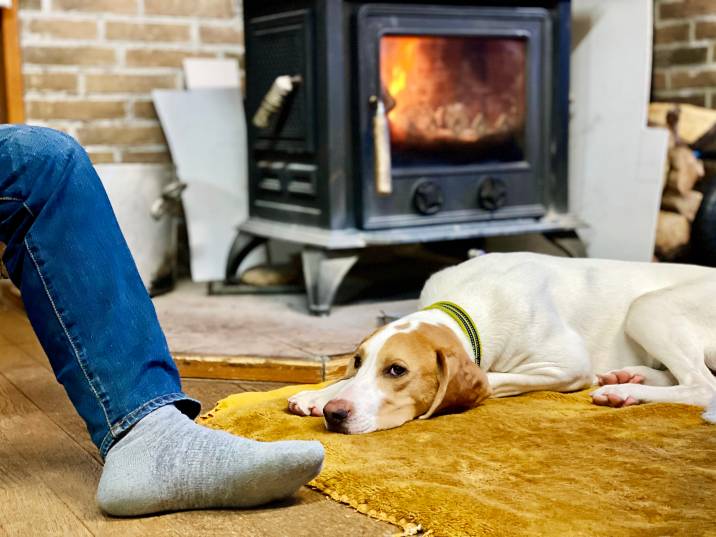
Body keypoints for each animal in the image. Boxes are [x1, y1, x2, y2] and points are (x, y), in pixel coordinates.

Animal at [286, 251, 716, 432]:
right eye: (358, 360)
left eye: (397, 371)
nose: (335, 414)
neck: (467, 305)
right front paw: (319, 394)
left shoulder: (566, 366)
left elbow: (492, 378)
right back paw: (625, 381)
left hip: (648, 308)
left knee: (701, 386)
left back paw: (627, 390)